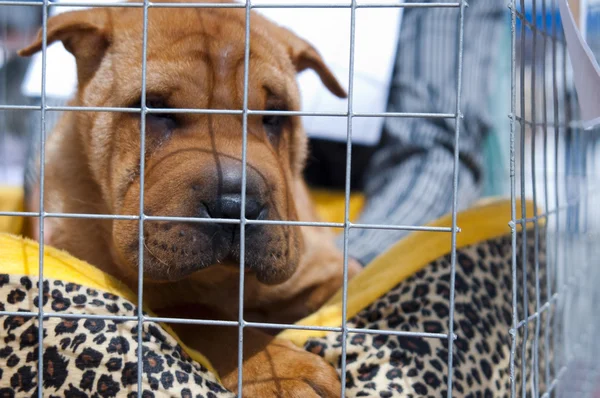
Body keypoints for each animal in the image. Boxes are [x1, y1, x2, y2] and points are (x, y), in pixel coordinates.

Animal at [19, 1, 360, 396]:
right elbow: (198, 315)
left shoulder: (331, 273)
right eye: (154, 108)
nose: (235, 206)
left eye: (274, 116)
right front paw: (284, 370)